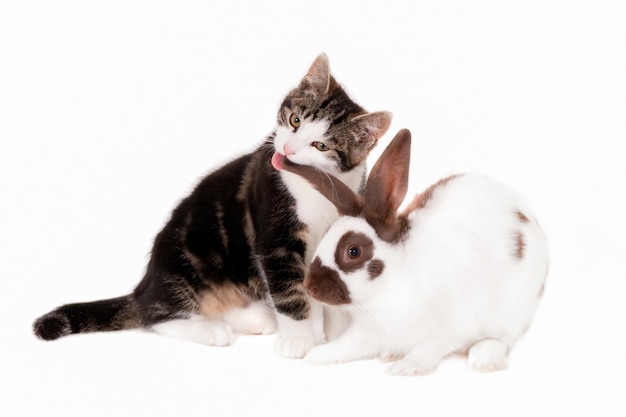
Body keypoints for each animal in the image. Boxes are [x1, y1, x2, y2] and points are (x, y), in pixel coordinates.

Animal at [33, 52, 390, 358]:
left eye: (320, 146)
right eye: (295, 120)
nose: (287, 148)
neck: (316, 187)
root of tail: (145, 284)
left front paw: (334, 330)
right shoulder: (274, 234)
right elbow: (288, 289)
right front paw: (299, 339)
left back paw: (255, 319)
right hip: (188, 262)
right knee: (155, 314)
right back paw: (211, 329)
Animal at [278, 128, 544, 376]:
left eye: (353, 251)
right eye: (325, 234)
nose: (310, 287)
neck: (391, 283)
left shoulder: (447, 329)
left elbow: (428, 349)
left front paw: (407, 367)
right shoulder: (368, 332)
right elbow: (346, 346)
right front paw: (317, 355)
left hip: (514, 307)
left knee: (503, 339)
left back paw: (483, 358)